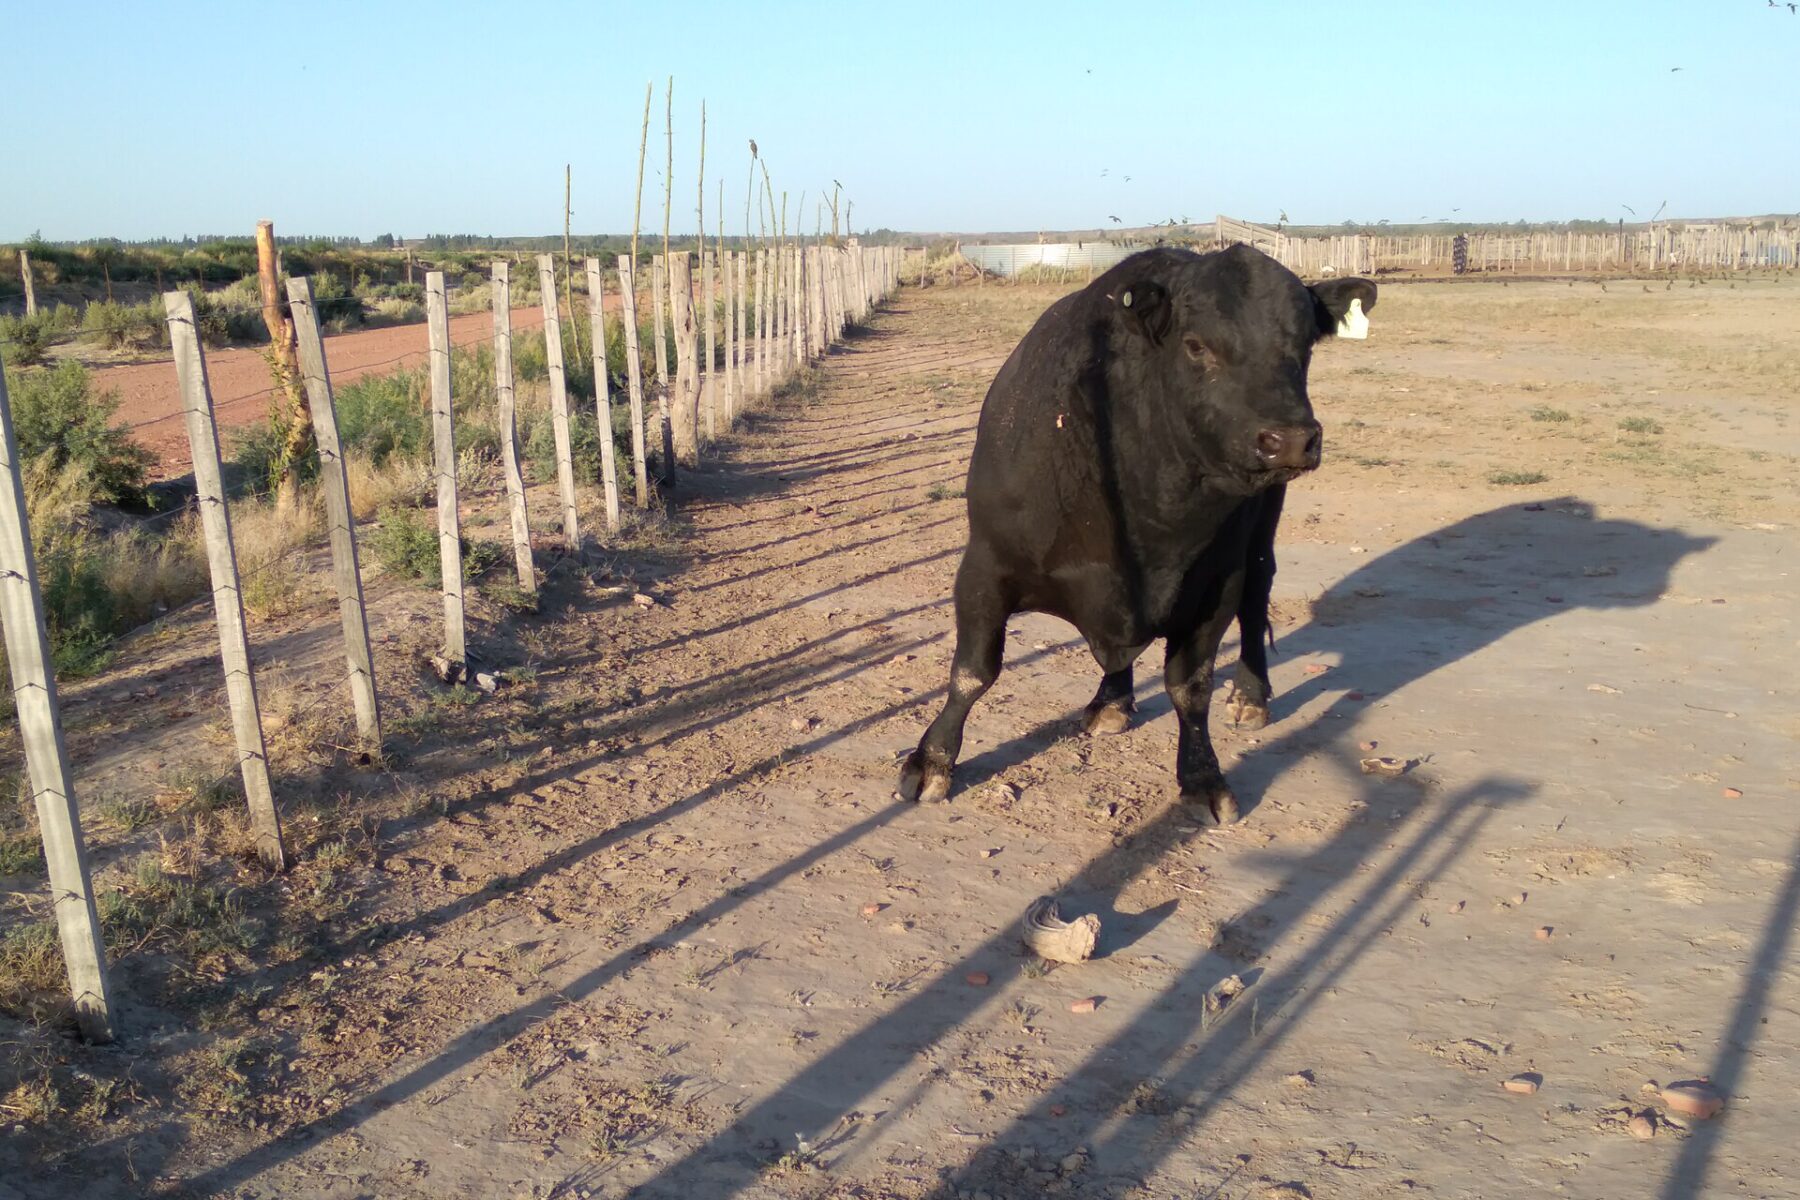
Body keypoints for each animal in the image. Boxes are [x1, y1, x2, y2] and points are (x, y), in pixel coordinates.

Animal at [898, 244, 1375, 825]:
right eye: (1196, 345)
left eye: (1305, 344)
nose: (1288, 439)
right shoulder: (985, 566)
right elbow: (972, 671)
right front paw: (932, 760)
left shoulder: (1219, 584)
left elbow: (1190, 687)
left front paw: (1202, 778)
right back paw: (1111, 700)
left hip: (1262, 537)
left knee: (1257, 602)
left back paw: (1250, 696)